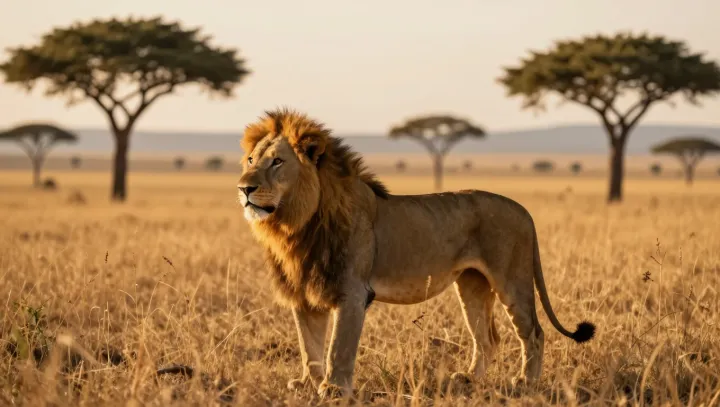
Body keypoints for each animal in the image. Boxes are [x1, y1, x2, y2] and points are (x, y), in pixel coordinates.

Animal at [236, 108, 596, 399]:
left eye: (278, 162)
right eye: (252, 161)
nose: (244, 188)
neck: (297, 225)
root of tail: (524, 210)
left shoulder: (351, 293)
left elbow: (338, 347)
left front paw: (334, 389)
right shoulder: (303, 294)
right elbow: (309, 348)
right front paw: (307, 384)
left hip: (512, 279)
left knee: (533, 332)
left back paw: (526, 383)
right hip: (472, 284)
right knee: (488, 338)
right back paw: (470, 379)